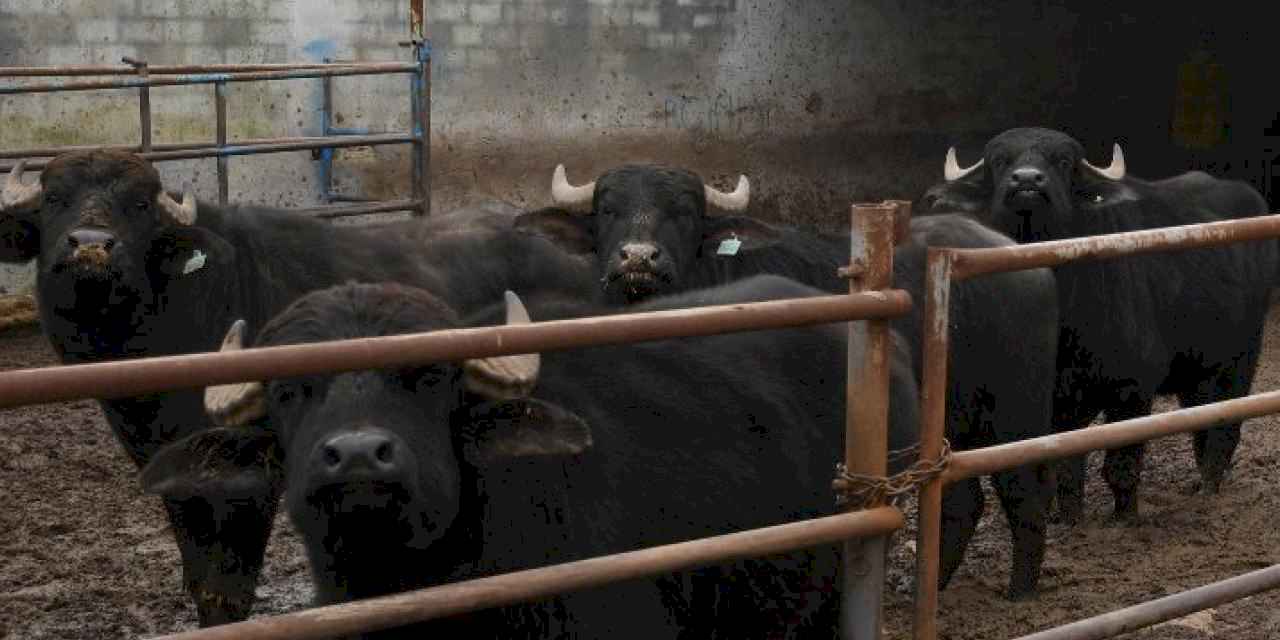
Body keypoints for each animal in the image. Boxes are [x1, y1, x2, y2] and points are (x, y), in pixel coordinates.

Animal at [0, 150, 596, 625]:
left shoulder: (248, 484)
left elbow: (228, 590)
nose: (90, 247)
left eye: (140, 205)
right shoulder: (177, 474)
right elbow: (201, 583)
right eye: (53, 199)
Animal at [512, 164, 1058, 599]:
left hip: (1015, 411)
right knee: (963, 501)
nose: (639, 259)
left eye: (685, 212)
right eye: (607, 210)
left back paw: (1021, 590)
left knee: (1024, 491)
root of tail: (1018, 259)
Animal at [917, 126, 1277, 524]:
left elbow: (1121, 465)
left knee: (1225, 425)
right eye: (999, 160)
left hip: (1242, 356)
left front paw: (1125, 518)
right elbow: (1065, 464)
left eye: (1063, 161)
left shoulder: (1134, 387)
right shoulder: (1057, 398)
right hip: (1198, 366)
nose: (1026, 180)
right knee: (1201, 417)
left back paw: (1211, 488)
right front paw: (1070, 520)